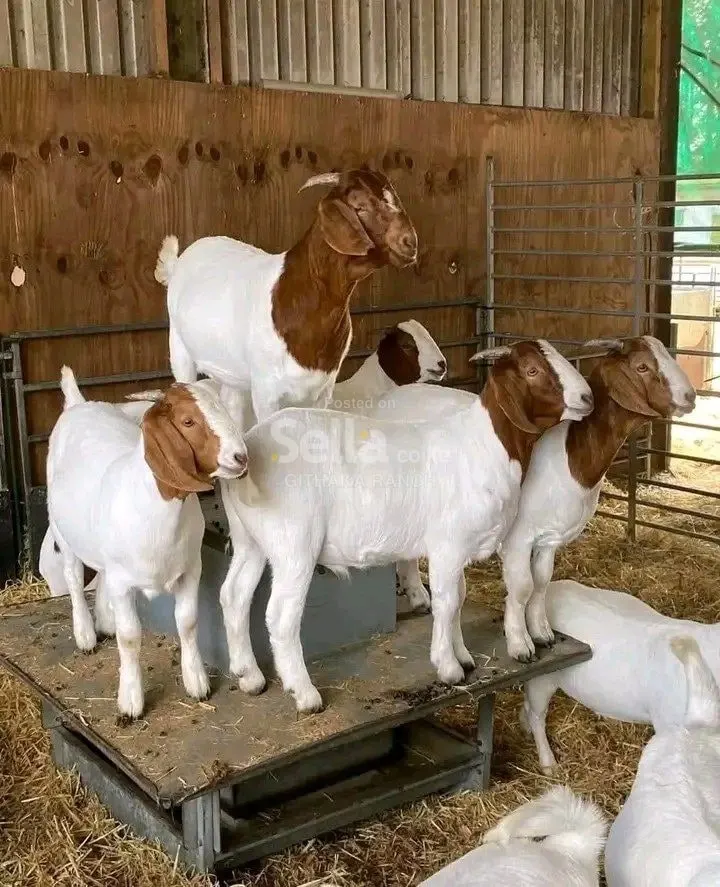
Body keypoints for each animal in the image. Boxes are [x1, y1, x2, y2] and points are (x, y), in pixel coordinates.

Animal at [46, 369, 247, 717]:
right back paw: (85, 634)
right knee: (73, 576)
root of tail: (78, 403)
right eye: (188, 421)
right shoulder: (123, 581)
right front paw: (130, 701)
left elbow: (188, 622)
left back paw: (105, 621)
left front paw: (196, 682)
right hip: (61, 530)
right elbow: (130, 637)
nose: (241, 456)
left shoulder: (191, 569)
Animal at [157, 169, 417, 430]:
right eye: (359, 207)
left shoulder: (323, 389)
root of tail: (179, 261)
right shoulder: (266, 390)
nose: (410, 242)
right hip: (179, 348)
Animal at [218, 340, 592, 713]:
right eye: (532, 370)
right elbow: (446, 602)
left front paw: (464, 657)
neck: (485, 447)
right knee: (282, 616)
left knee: (234, 595)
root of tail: (250, 450)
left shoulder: (460, 547)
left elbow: (459, 597)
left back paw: (249, 677)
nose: (588, 397)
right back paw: (305, 694)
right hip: (294, 543)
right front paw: (448, 667)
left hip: (250, 539)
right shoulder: (448, 544)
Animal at [500, 335, 695, 662]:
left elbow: (541, 582)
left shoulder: (549, 538)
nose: (690, 396)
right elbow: (521, 588)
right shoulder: (517, 537)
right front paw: (519, 645)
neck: (570, 454)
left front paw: (542, 633)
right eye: (642, 366)